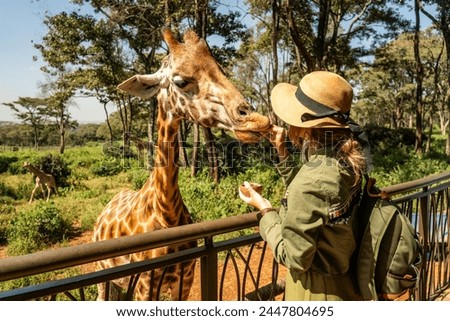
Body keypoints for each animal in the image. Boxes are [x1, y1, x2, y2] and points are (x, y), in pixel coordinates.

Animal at [93, 28, 270, 302]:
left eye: (221, 70)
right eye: (180, 81)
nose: (256, 120)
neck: (167, 214)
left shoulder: (185, 280)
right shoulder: (145, 286)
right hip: (103, 274)